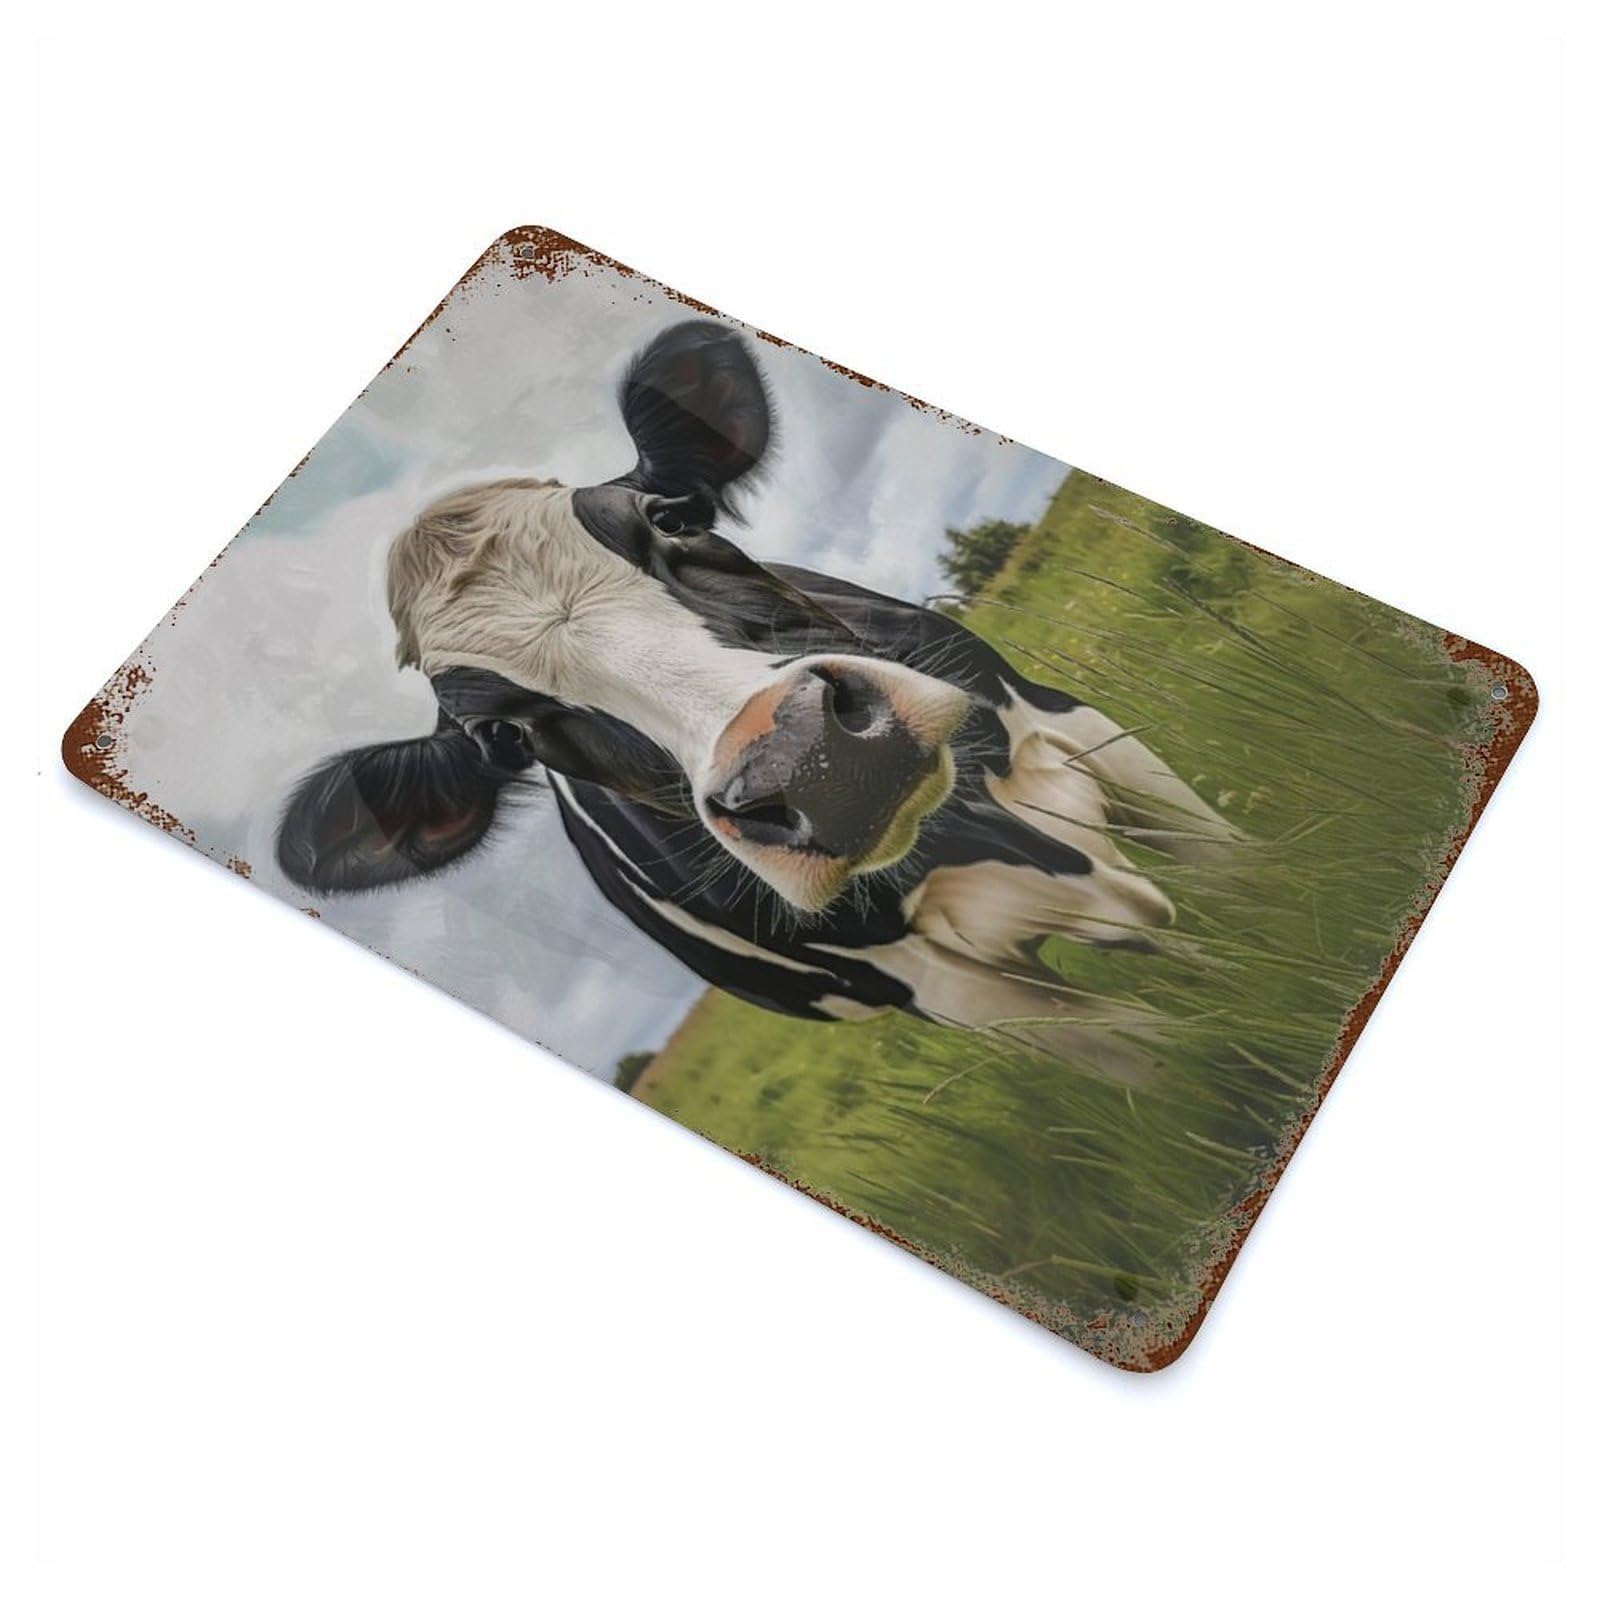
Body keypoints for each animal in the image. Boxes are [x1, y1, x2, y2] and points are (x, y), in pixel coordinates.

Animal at [275, 320, 1236, 1085]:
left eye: (671, 516)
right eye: (504, 738)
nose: (813, 761)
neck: (969, 830)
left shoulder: (1072, 726)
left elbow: (1236, 878)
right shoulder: (960, 991)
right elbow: (1182, 1064)